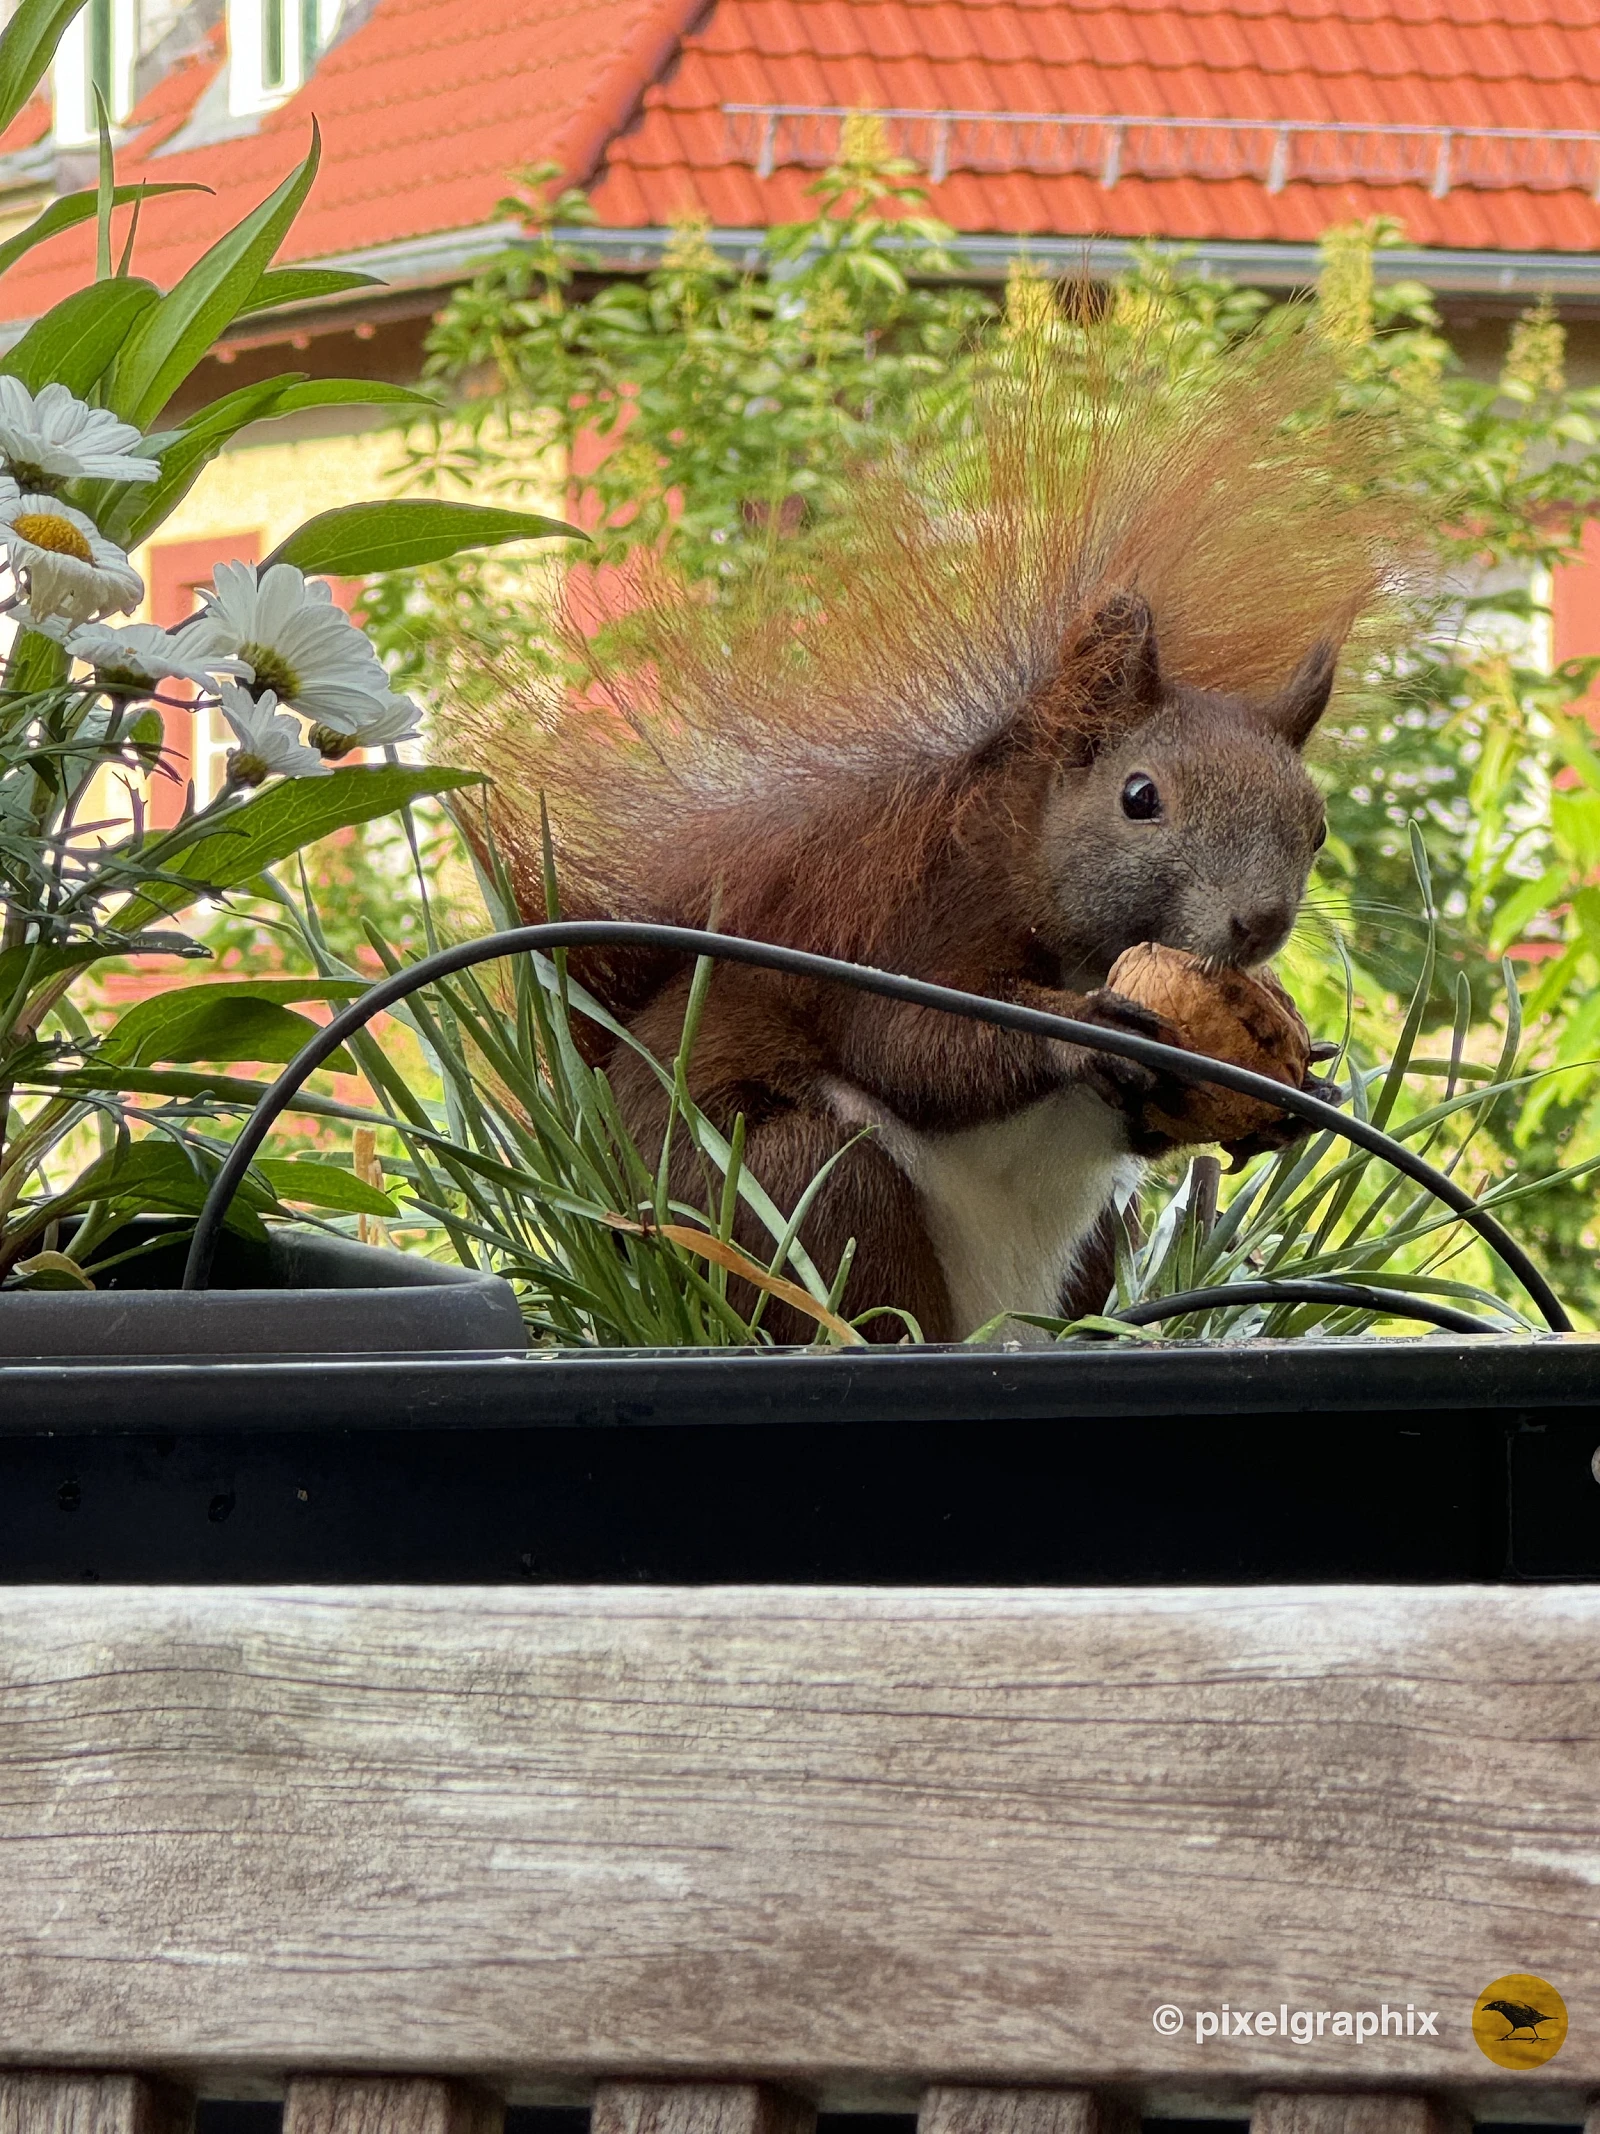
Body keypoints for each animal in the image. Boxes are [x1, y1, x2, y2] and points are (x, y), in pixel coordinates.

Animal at [470, 321, 1411, 1342]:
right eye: (1139, 798)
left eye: (1317, 828)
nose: (1259, 924)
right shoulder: (909, 926)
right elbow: (911, 1043)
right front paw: (1084, 1030)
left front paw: (1303, 1090)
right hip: (803, 1188)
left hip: (1087, 1249)